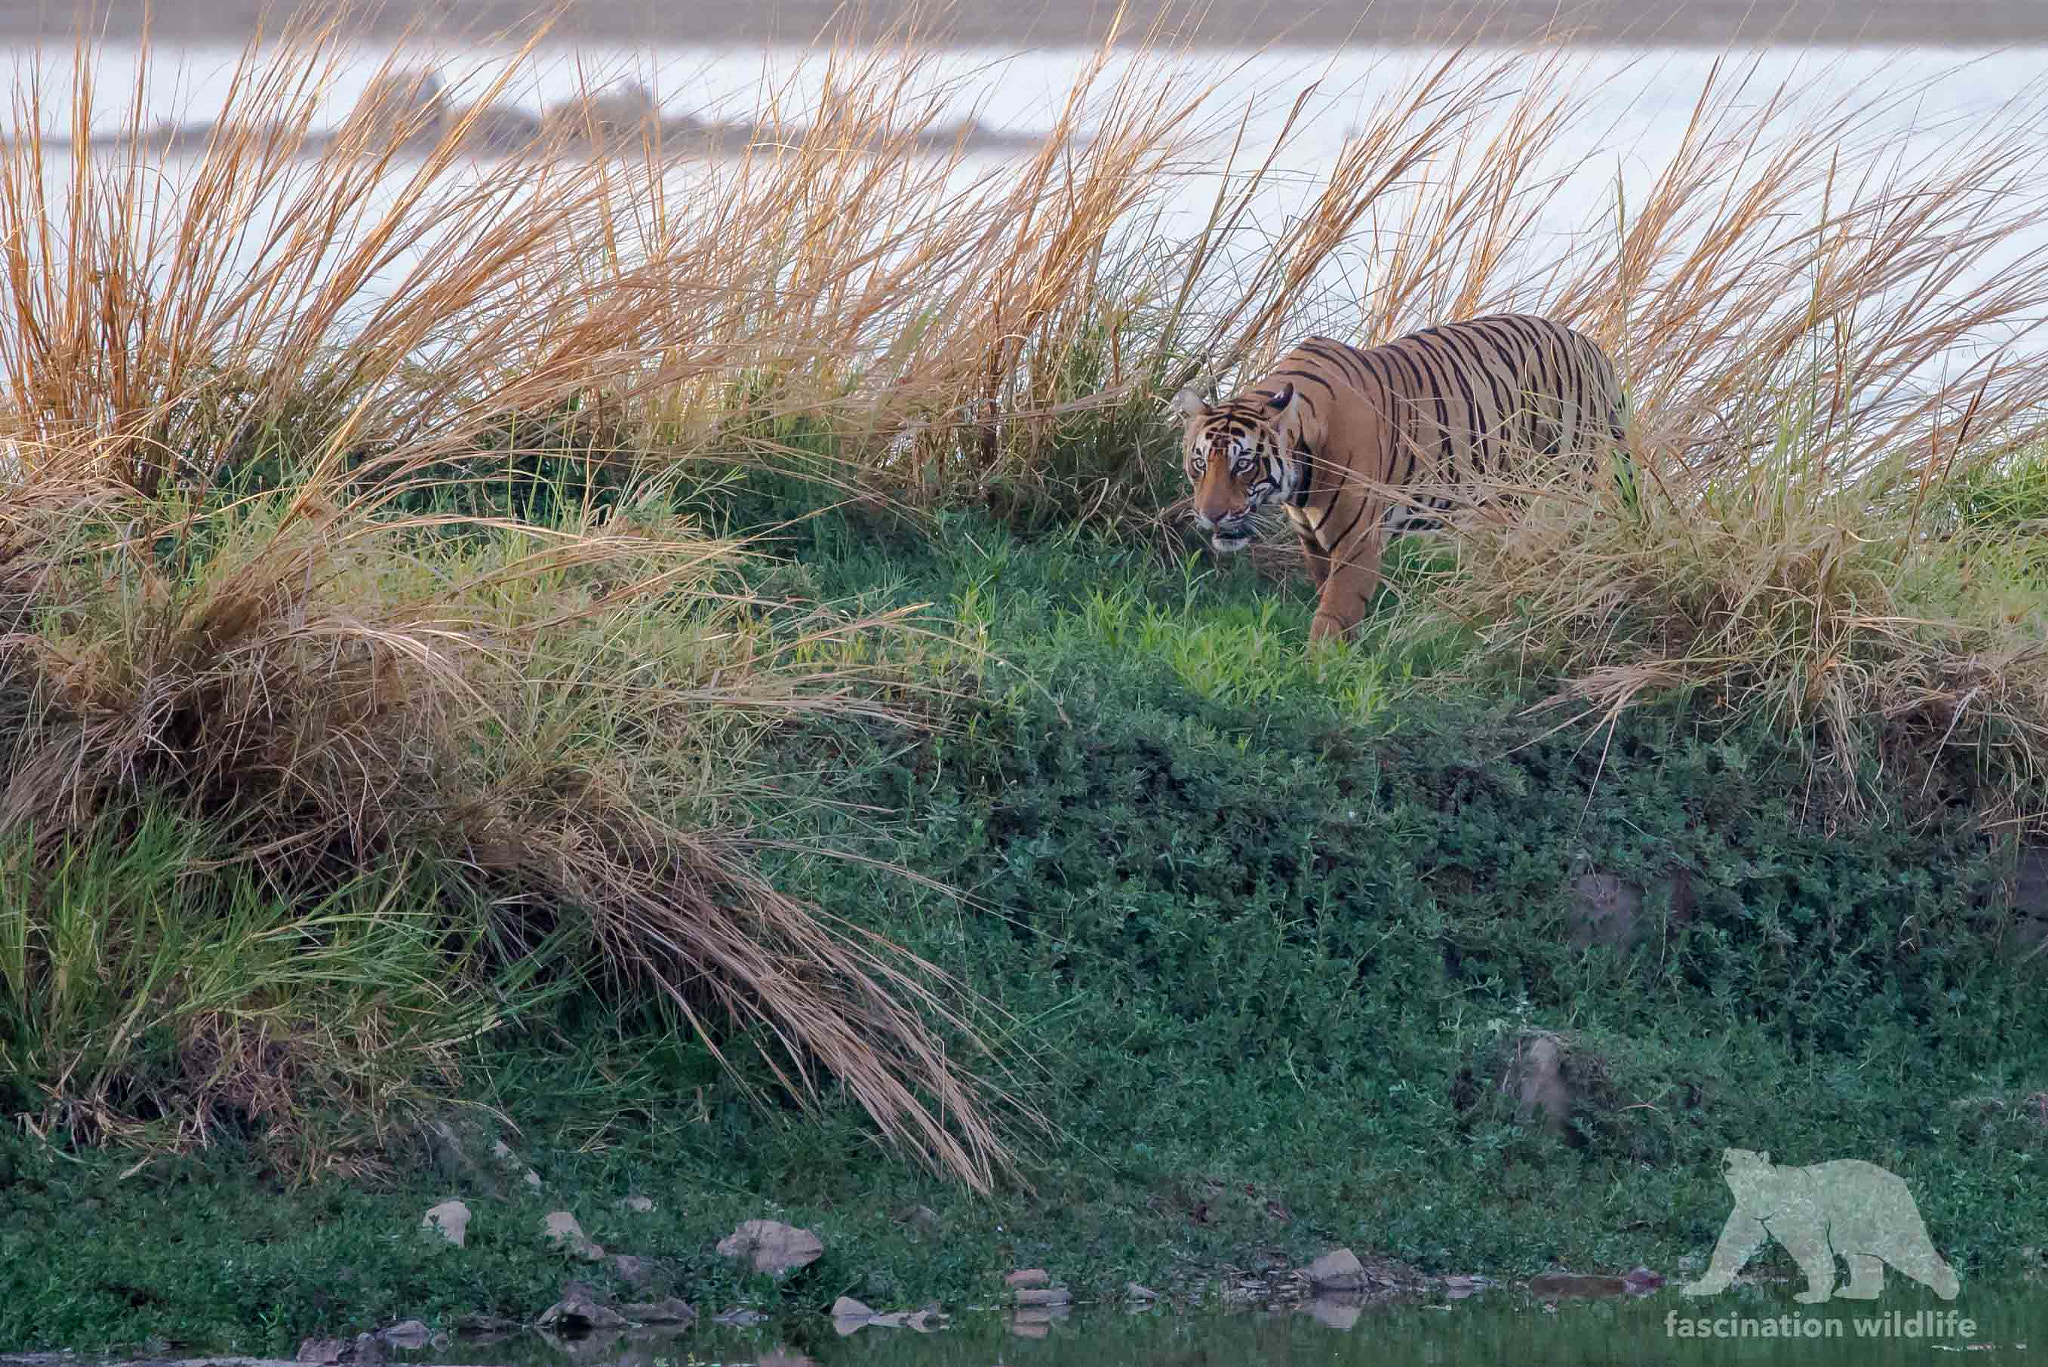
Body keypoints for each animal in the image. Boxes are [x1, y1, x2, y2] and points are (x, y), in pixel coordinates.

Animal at [1170, 312, 1628, 643]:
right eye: (1200, 464)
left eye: (1243, 464)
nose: (1210, 516)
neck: (1297, 483)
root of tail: (1593, 347)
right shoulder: (1312, 540)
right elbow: (1327, 591)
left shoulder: (1358, 539)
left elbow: (1336, 609)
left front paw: (1320, 669)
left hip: (1564, 481)